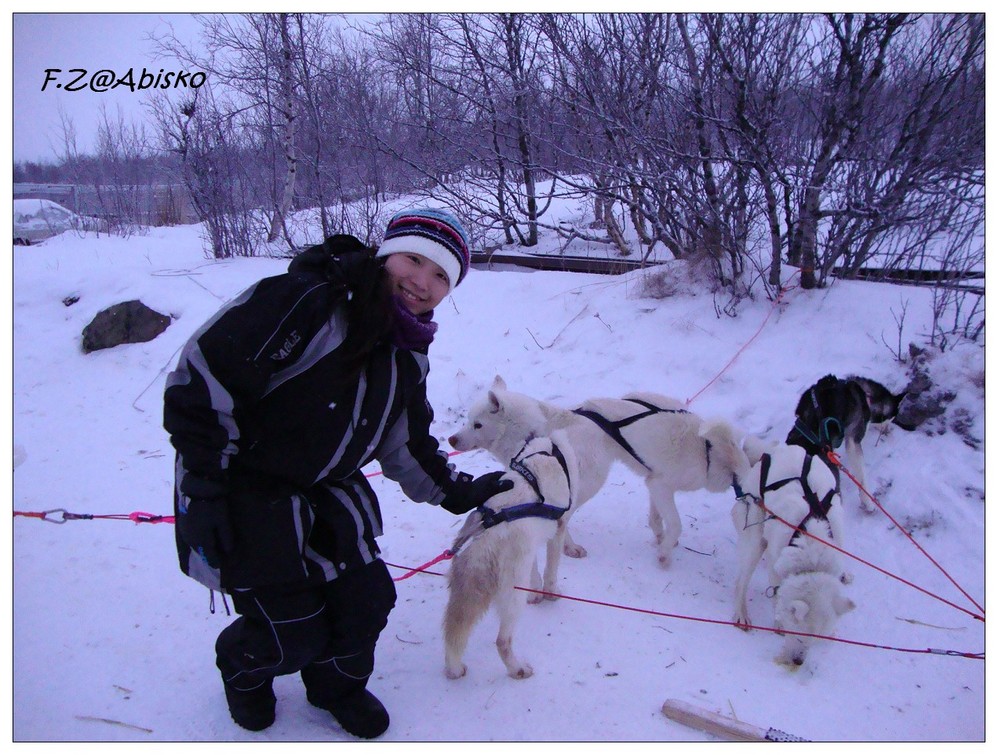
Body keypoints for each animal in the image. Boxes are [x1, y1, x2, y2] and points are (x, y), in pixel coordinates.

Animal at [446, 434, 580, 684]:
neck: (548, 450)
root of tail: (485, 539)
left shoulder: (530, 546)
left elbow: (536, 572)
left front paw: (536, 593)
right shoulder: (558, 529)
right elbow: (551, 571)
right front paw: (551, 593)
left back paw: (454, 669)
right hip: (512, 597)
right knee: (502, 641)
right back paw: (518, 669)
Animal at [448, 378, 752, 584]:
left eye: (476, 424)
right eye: (468, 421)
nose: (450, 439)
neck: (708, 449)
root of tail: (567, 417)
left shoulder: (655, 483)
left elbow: (658, 519)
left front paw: (661, 539)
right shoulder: (662, 485)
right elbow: (676, 524)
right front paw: (665, 554)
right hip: (592, 480)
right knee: (563, 517)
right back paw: (568, 546)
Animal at [732, 442, 856, 668]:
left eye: (814, 642)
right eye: (798, 636)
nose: (798, 661)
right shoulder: (776, 562)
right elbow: (777, 593)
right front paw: (779, 622)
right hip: (755, 537)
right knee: (741, 581)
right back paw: (741, 614)